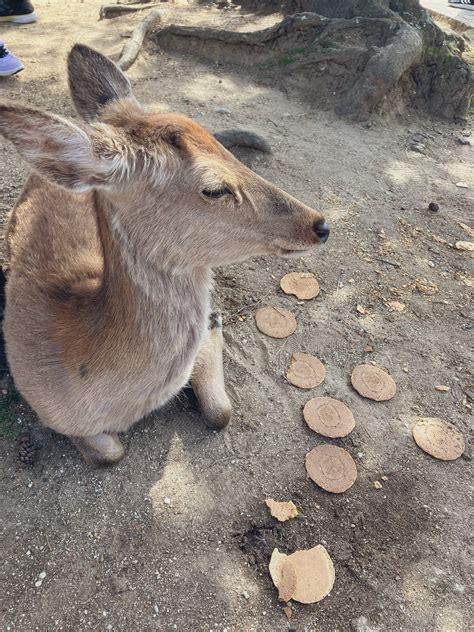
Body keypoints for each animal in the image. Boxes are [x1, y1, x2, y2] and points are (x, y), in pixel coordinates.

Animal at [0, 44, 330, 466]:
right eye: (214, 189)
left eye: (226, 151)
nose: (320, 225)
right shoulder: (44, 404)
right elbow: (110, 453)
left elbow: (221, 412)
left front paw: (215, 322)